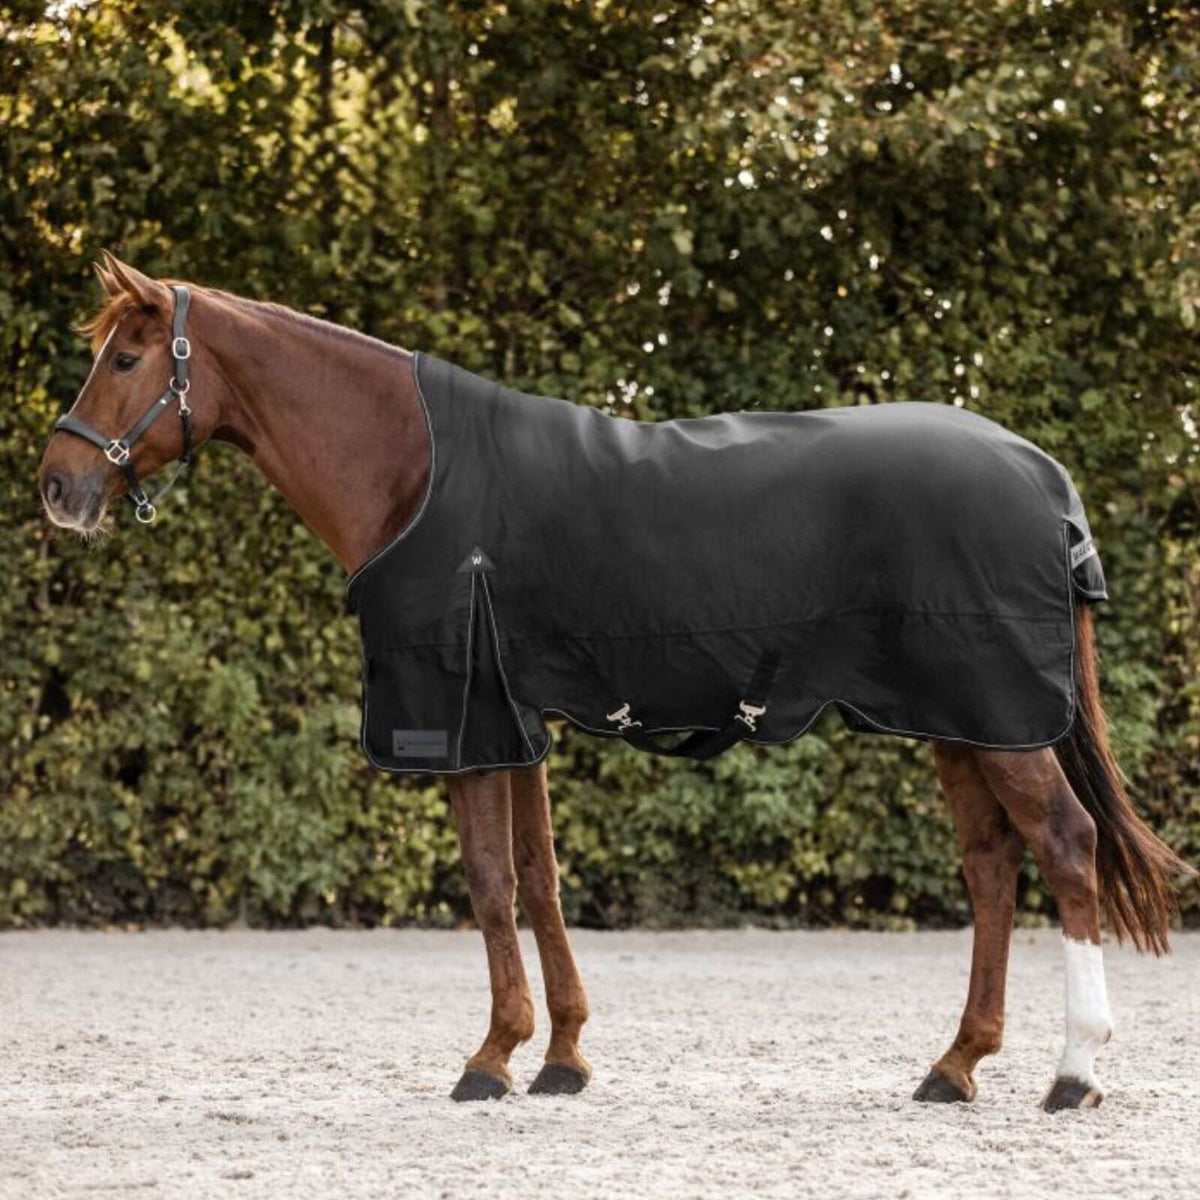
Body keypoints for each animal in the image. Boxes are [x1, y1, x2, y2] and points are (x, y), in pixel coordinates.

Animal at [38, 254, 1188, 1110]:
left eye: (128, 357)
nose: (58, 486)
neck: (416, 472)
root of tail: (1043, 476)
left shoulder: (466, 719)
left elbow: (490, 883)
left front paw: (490, 1058)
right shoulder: (519, 722)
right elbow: (539, 879)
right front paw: (560, 1057)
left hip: (1000, 722)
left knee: (1066, 848)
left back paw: (1072, 1072)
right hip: (961, 723)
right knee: (992, 869)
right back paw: (955, 1066)